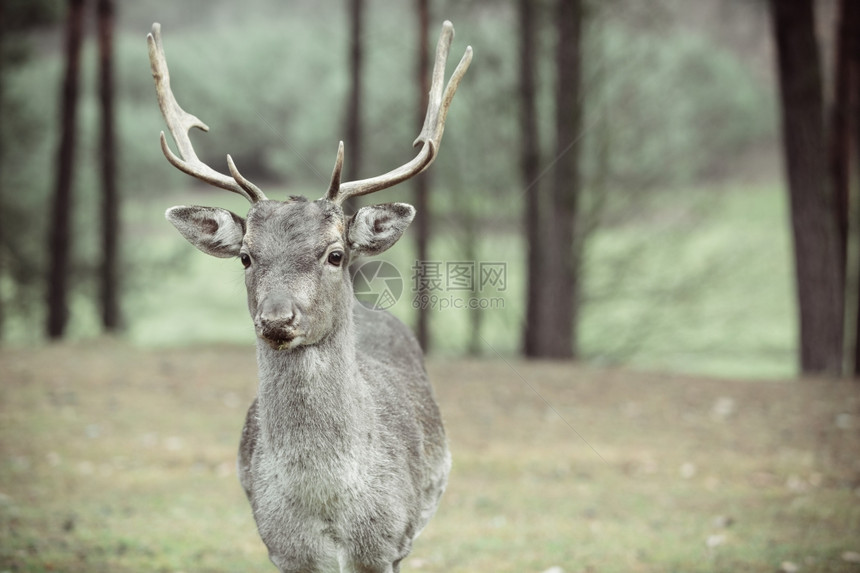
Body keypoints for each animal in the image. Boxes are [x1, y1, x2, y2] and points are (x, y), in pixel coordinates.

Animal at [146, 19, 470, 572]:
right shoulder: (283, 545)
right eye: (245, 256)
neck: (328, 505)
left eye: (335, 254)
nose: (277, 319)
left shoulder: (385, 542)